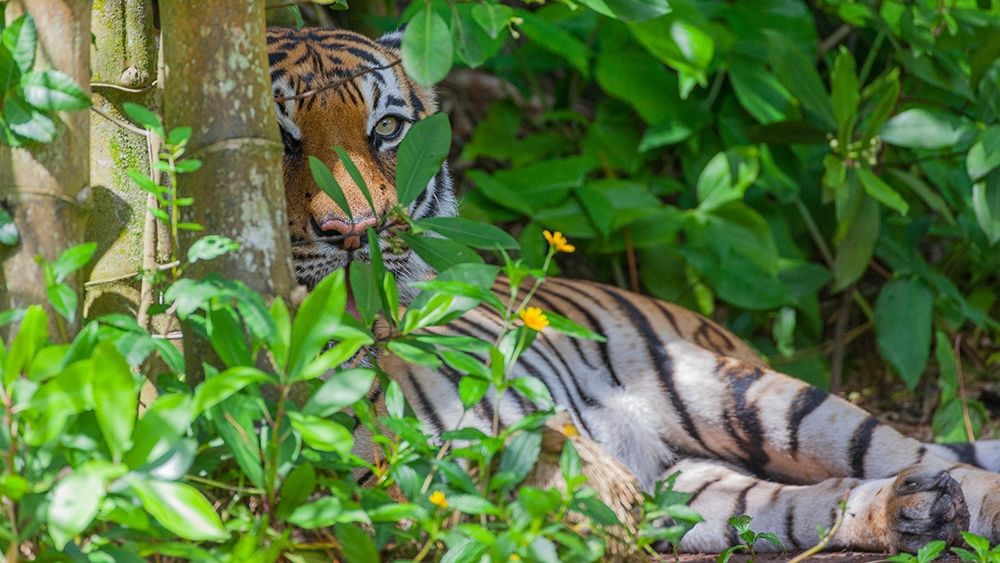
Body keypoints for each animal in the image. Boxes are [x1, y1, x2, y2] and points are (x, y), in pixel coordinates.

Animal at [266, 26, 1000, 555]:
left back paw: (952, 499)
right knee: (795, 504)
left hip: (759, 396)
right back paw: (914, 509)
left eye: (387, 129)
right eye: (279, 138)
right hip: (689, 483)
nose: (356, 230)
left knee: (928, 458)